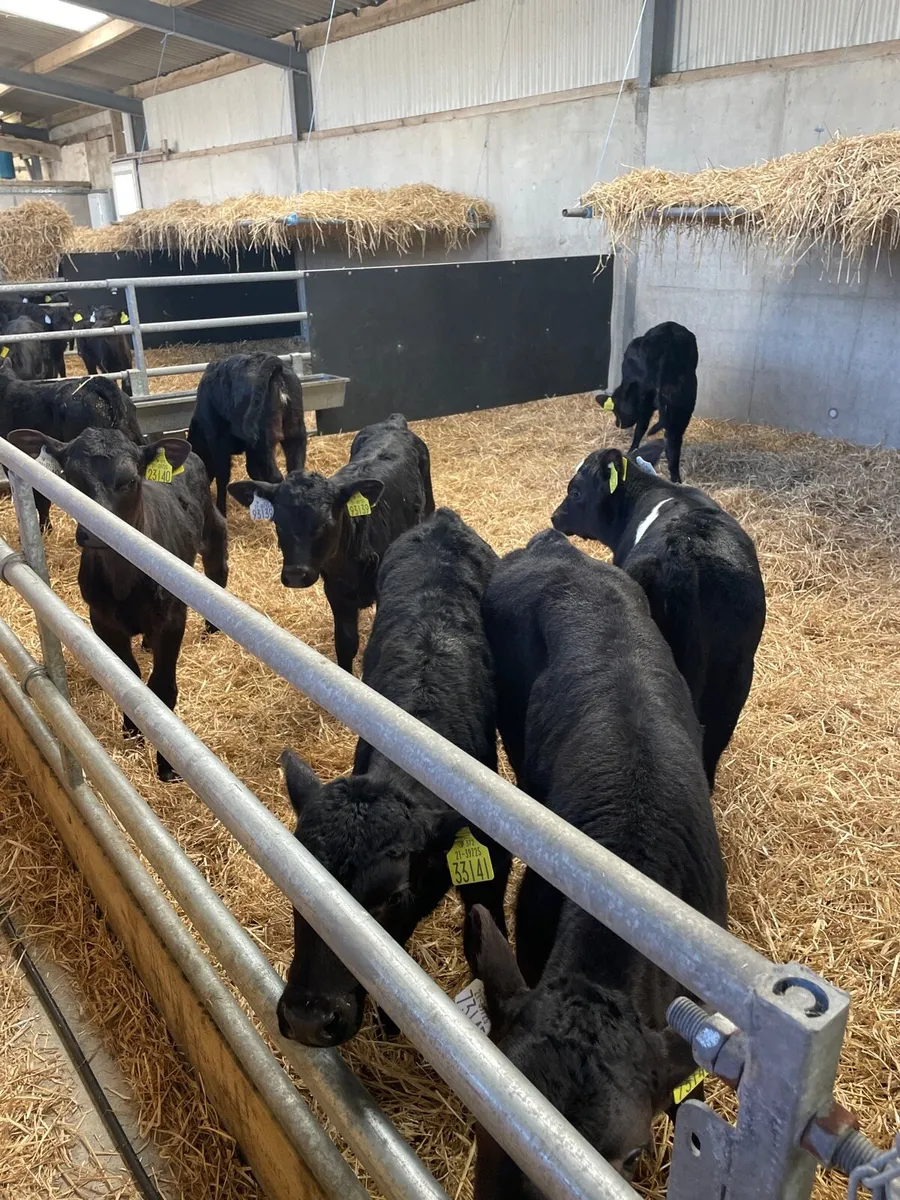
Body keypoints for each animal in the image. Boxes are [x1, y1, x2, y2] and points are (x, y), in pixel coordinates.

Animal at [7, 427, 228, 783]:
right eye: (71, 478)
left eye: (130, 481)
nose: (94, 530)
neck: (125, 582)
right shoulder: (103, 620)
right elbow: (130, 679)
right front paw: (132, 730)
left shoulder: (172, 619)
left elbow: (161, 687)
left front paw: (168, 766)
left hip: (212, 527)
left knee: (216, 568)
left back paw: (212, 629)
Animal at [188, 353, 308, 516]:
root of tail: (275, 364)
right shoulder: (250, 447)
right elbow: (251, 470)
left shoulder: (219, 444)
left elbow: (223, 476)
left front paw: (221, 510)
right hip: (294, 434)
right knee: (295, 471)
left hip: (265, 441)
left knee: (275, 476)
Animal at [228, 413, 435, 672]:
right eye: (278, 522)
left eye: (325, 523)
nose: (295, 575)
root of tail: (393, 422)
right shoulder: (335, 591)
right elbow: (345, 643)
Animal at [598, 321, 698, 483]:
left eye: (615, 410)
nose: (618, 424)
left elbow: (640, 428)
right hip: (683, 404)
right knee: (673, 442)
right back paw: (676, 479)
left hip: (650, 399)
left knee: (645, 427)